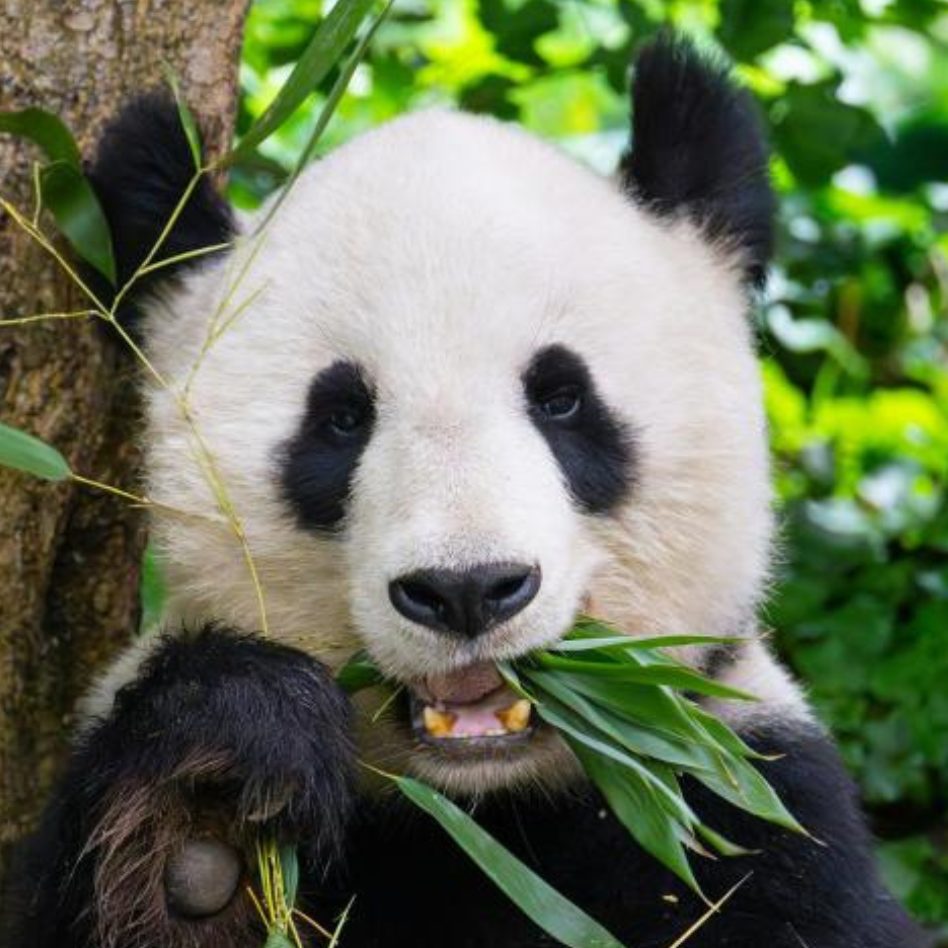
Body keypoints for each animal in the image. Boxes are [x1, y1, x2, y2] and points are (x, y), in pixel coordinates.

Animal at [6, 35, 929, 948]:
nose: (466, 589)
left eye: (562, 399)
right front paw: (214, 796)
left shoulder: (746, 795)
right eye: (342, 418)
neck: (486, 813)